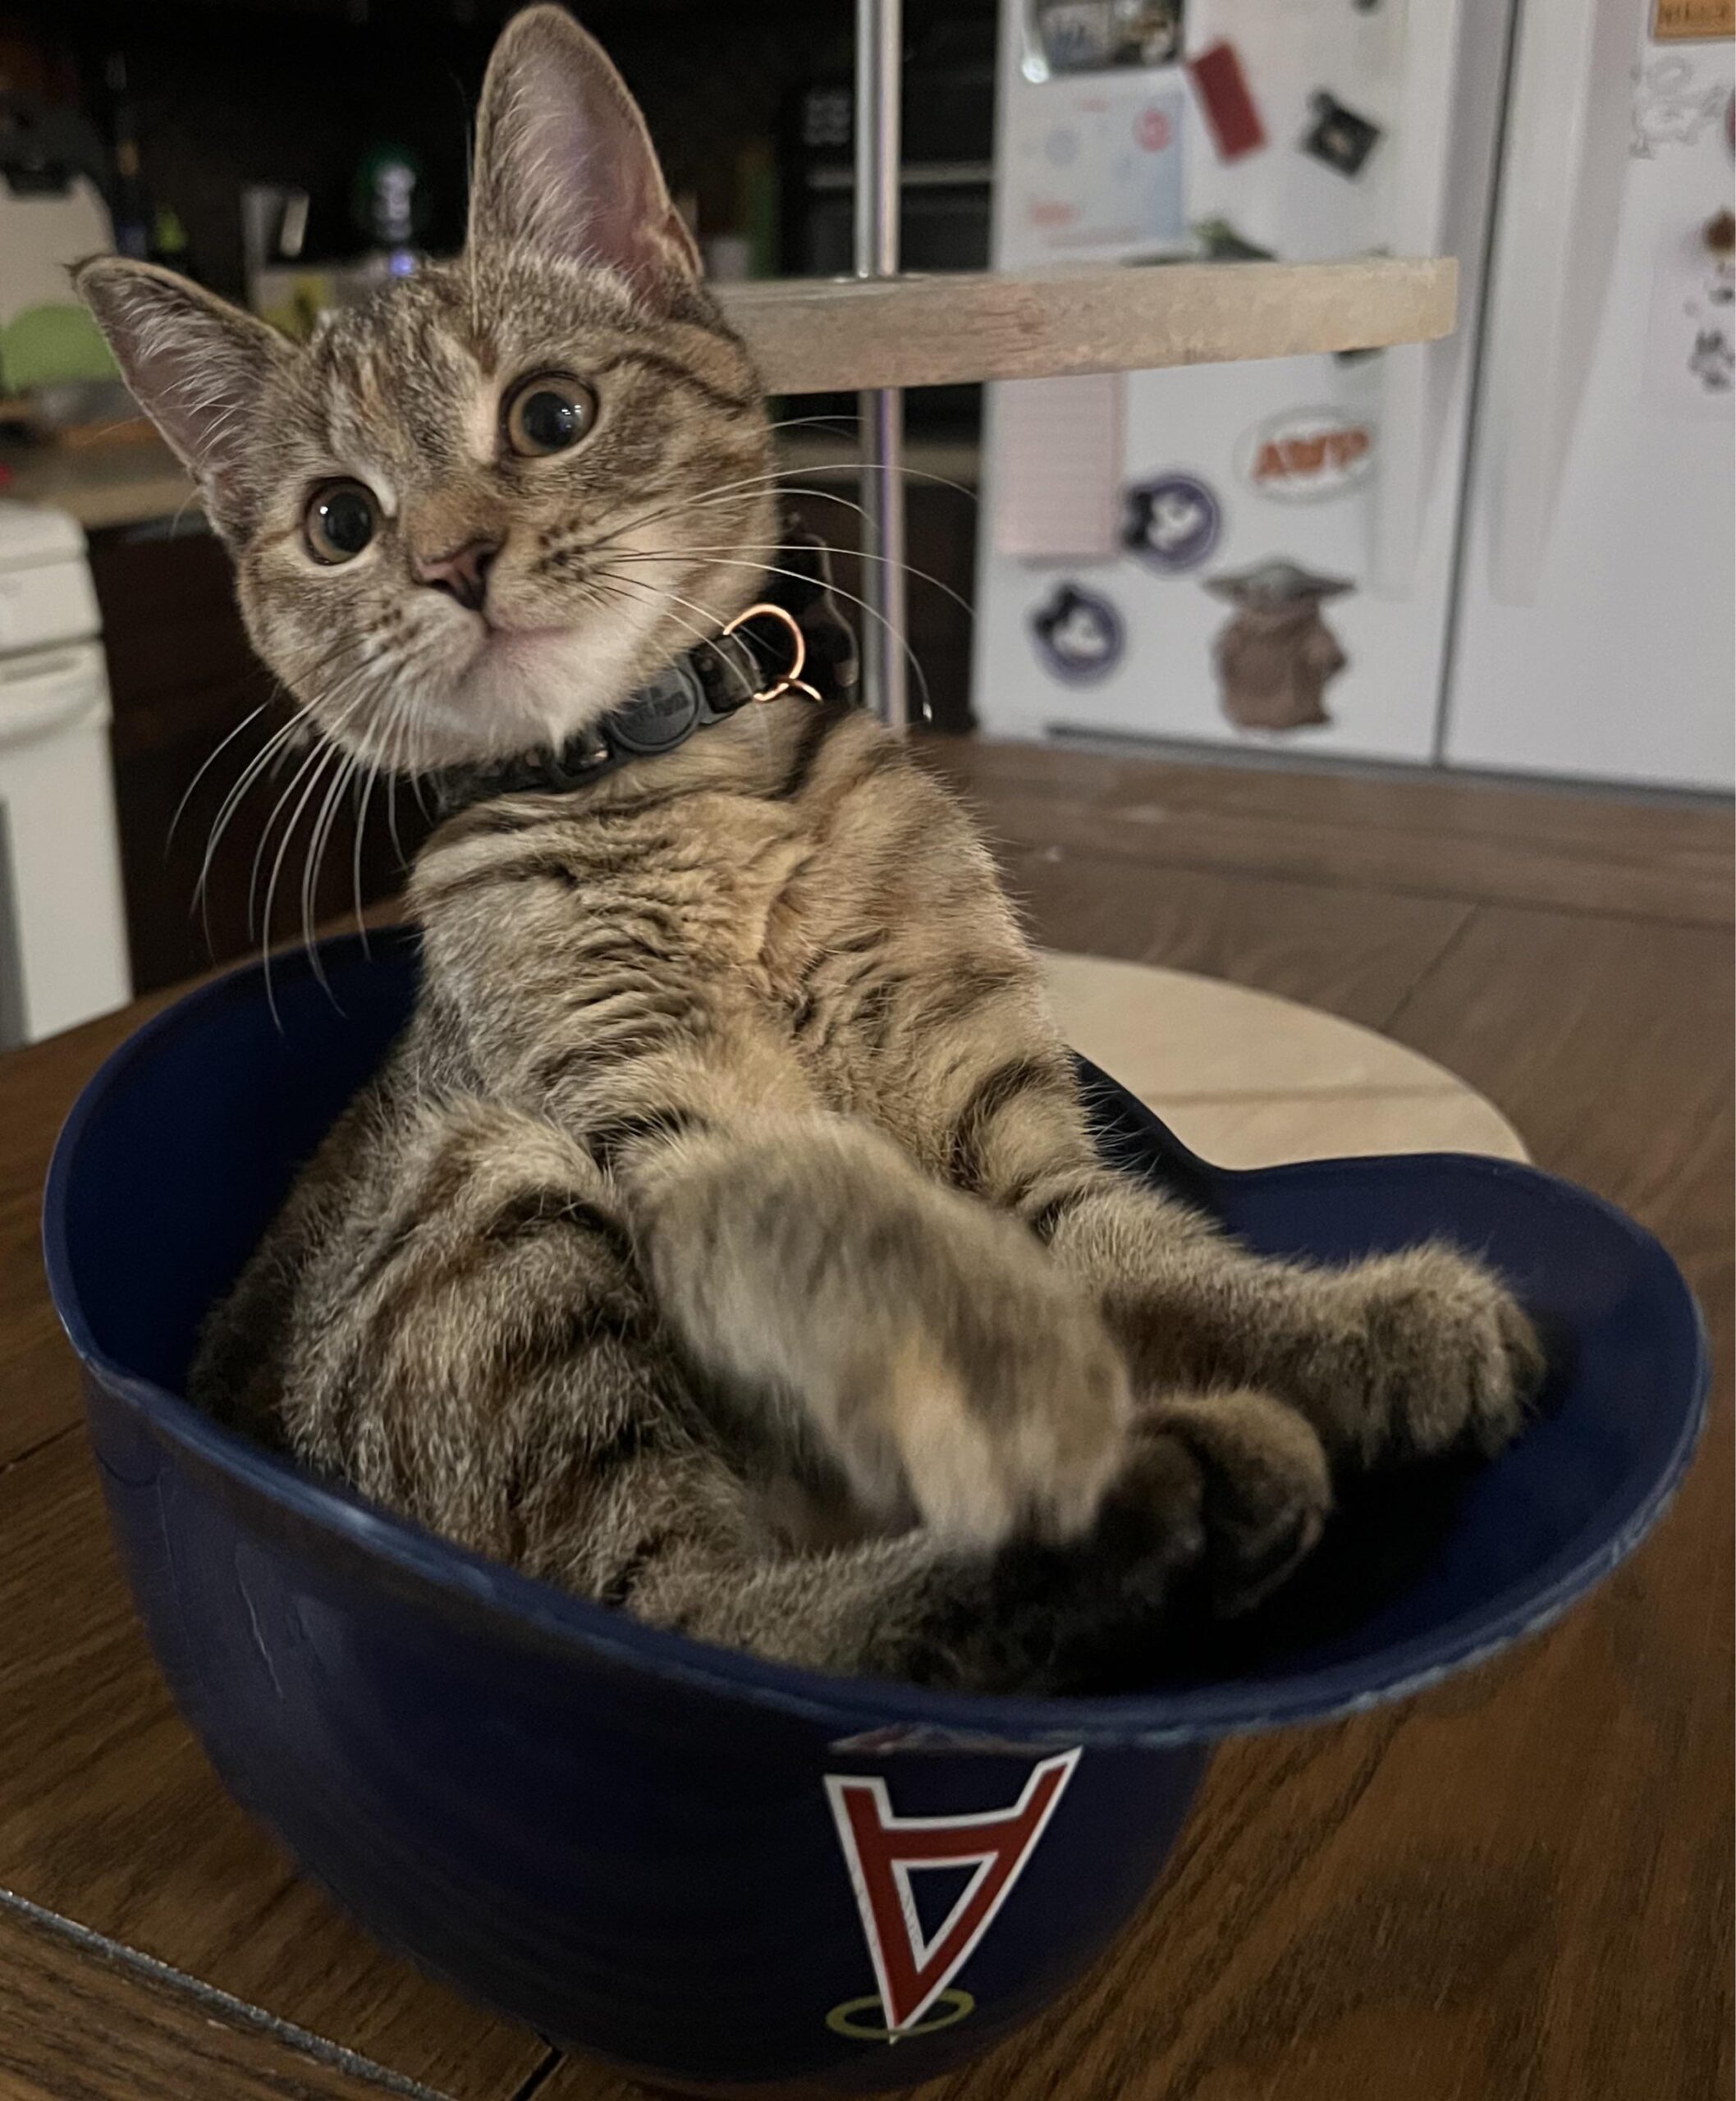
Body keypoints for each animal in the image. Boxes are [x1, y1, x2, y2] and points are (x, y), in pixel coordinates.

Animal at [77, 8, 1538, 1697]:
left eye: (550, 414)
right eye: (336, 521)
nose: (447, 558)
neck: (685, 791)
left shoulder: (1003, 1114)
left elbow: (1148, 1255)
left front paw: (1360, 1327)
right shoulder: (674, 1125)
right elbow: (842, 1243)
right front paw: (1008, 1373)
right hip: (497, 1199)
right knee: (689, 1612)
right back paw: (1140, 1506)